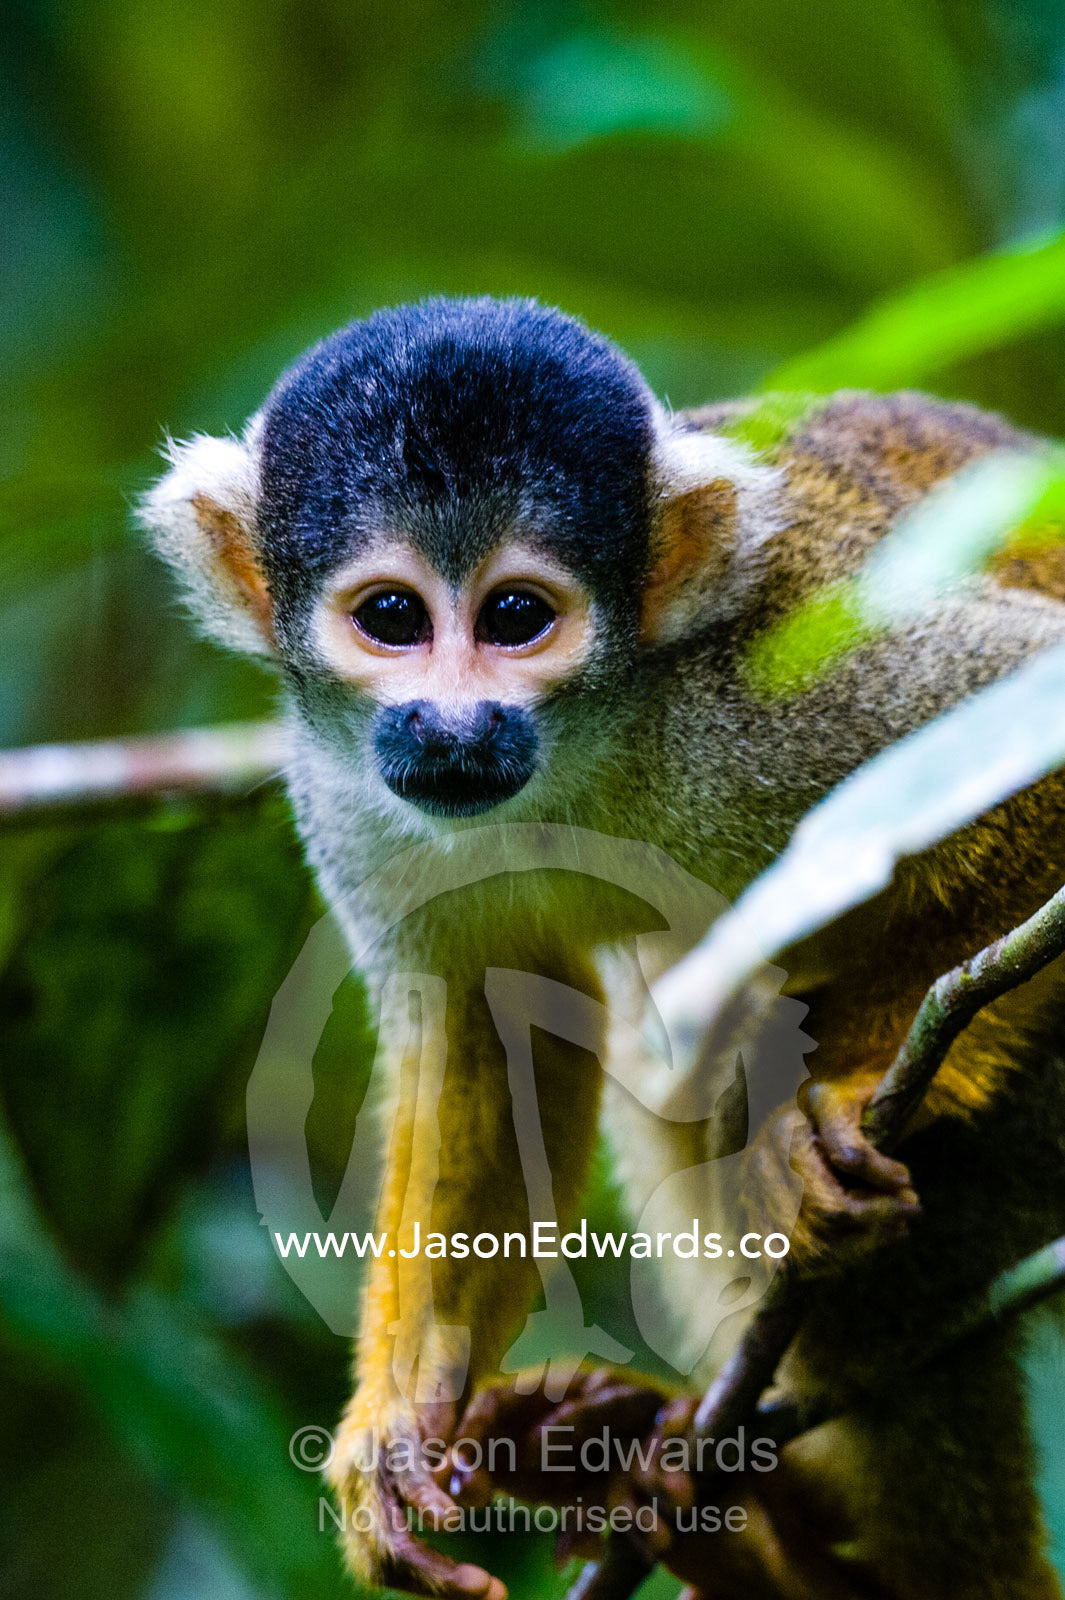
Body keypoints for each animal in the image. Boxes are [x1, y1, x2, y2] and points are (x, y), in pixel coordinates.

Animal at [142, 296, 1065, 1600]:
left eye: (517, 617)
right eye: (393, 618)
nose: (453, 725)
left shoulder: (766, 691)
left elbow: (1027, 718)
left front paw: (833, 1102)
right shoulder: (343, 790)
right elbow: (489, 1033)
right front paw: (397, 1422)